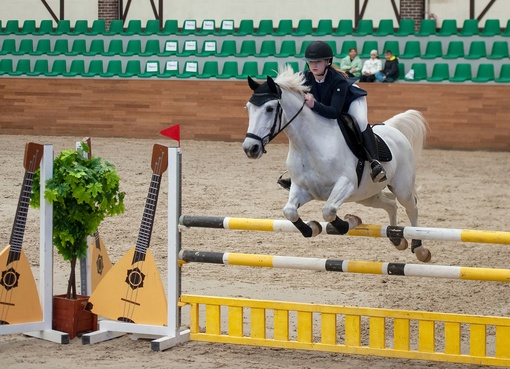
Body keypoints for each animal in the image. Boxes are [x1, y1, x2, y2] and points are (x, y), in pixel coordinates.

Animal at [242, 66, 430, 262]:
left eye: (270, 108)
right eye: (248, 108)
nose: (250, 148)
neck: (308, 145)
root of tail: (392, 129)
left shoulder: (346, 184)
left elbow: (328, 210)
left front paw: (349, 222)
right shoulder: (303, 188)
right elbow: (290, 211)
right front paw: (313, 228)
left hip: (401, 188)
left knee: (411, 208)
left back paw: (419, 248)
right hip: (366, 195)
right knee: (390, 204)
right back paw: (396, 238)